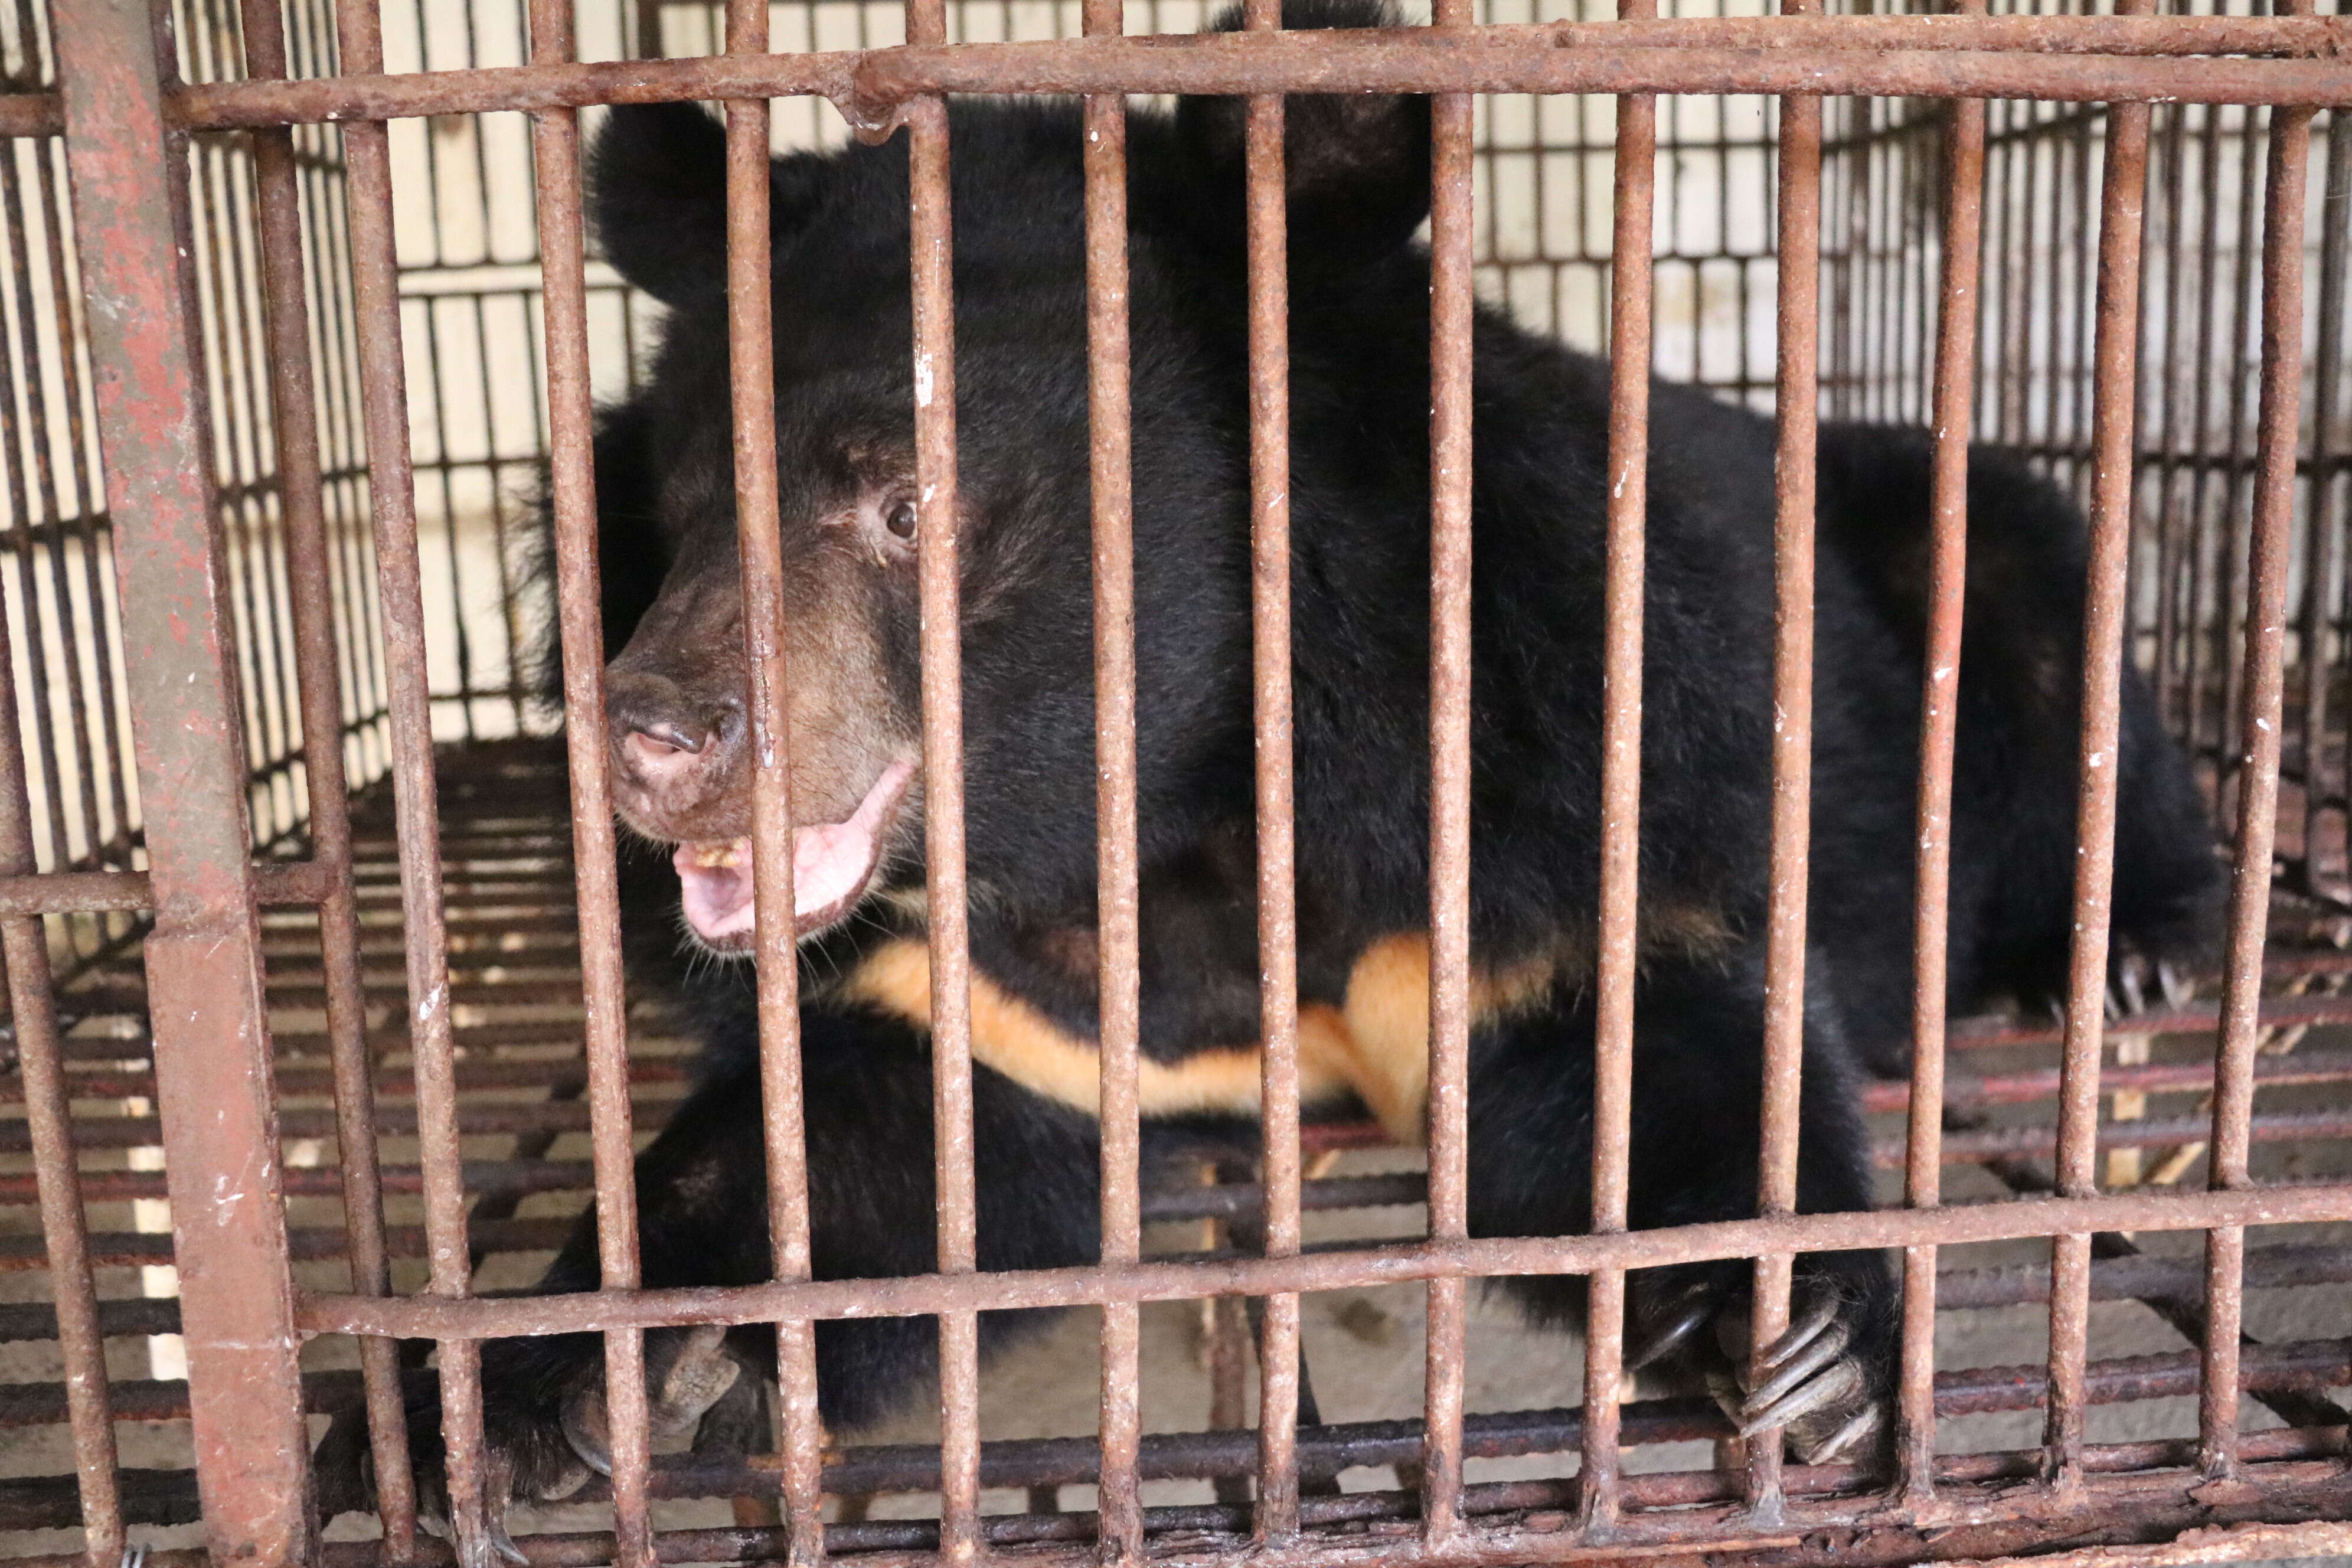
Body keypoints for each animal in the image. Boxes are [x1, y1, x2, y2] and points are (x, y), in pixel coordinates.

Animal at [322, 0, 2210, 1542]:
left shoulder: (1538, 770)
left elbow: (1646, 1039)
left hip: (1967, 542)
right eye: (686, 503)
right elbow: (870, 1156)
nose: (652, 741)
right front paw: (514, 1389)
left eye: (906, 505)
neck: (1168, 805)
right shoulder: (987, 995)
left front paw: (1807, 1335)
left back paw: (2126, 953)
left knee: (2059, 626)